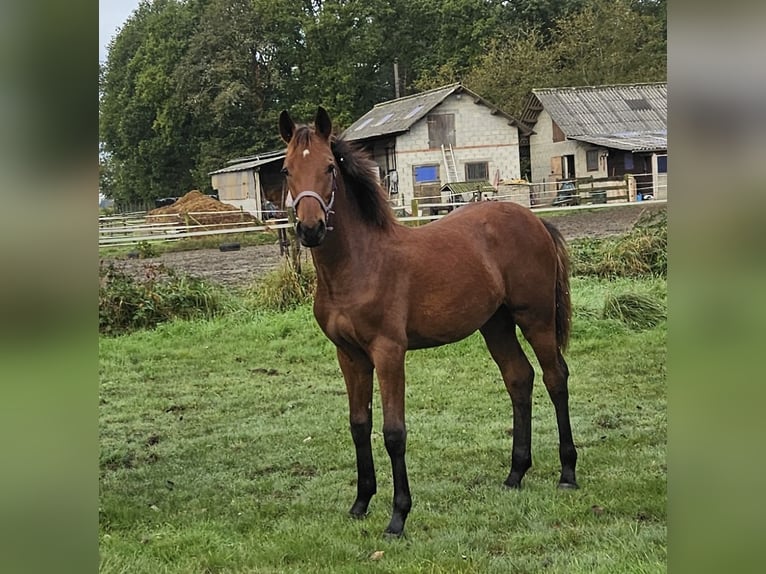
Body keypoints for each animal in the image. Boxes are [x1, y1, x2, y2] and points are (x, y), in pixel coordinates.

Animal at [280, 106, 580, 536]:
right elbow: (358, 424)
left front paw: (398, 516)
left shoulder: (389, 352)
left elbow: (394, 432)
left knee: (556, 378)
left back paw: (567, 473)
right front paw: (360, 503)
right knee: (519, 379)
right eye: (287, 170)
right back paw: (515, 474)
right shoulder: (349, 356)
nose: (310, 229)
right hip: (496, 324)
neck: (359, 264)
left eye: (329, 168)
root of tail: (534, 220)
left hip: (534, 317)